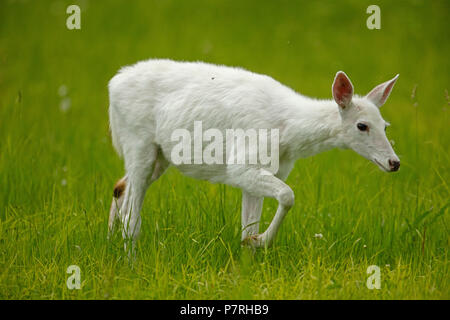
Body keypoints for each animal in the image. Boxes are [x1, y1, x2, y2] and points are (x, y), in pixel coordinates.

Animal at [107, 58, 400, 248]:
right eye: (362, 126)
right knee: (131, 217)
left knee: (120, 187)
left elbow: (247, 224)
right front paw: (260, 241)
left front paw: (249, 251)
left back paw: (111, 244)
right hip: (138, 140)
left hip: (160, 155)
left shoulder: (269, 169)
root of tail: (112, 85)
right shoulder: (241, 165)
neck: (288, 135)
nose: (394, 162)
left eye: (386, 125)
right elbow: (288, 195)